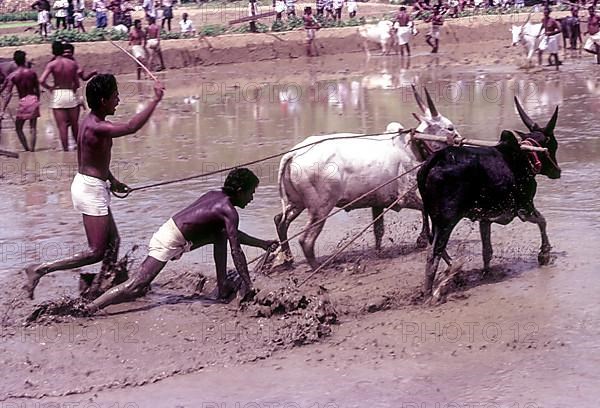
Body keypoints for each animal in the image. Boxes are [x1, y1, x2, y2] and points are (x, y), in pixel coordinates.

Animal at [274, 87, 462, 268]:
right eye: (450, 128)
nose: (460, 140)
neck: (411, 146)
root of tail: (293, 153)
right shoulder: (404, 197)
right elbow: (424, 209)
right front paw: (422, 240)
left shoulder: (377, 201)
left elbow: (379, 230)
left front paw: (379, 252)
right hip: (320, 207)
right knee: (305, 240)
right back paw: (317, 267)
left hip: (297, 202)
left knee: (280, 222)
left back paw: (288, 259)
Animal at [418, 97, 564, 298]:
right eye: (554, 145)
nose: (558, 171)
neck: (525, 156)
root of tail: (433, 161)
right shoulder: (524, 207)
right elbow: (543, 221)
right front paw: (544, 254)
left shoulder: (485, 218)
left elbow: (487, 249)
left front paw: (487, 272)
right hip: (447, 220)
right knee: (433, 253)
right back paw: (431, 293)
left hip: (434, 217)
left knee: (434, 245)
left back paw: (455, 273)